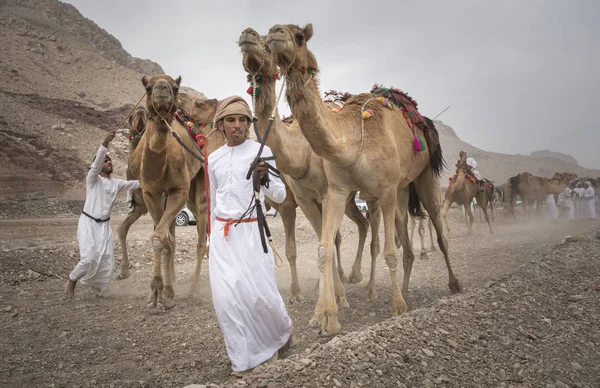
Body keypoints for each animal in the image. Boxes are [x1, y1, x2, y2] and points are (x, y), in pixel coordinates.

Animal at [238, 28, 370, 304]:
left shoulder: (311, 198)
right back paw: (344, 276)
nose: (247, 34)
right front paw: (299, 293)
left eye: (266, 43)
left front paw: (331, 296)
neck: (301, 152)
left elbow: (317, 241)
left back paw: (356, 275)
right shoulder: (298, 200)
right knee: (353, 228)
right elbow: (298, 247)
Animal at [264, 22, 462, 334]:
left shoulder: (385, 189)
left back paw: (452, 284)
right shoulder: (337, 190)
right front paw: (327, 318)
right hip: (400, 190)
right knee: (404, 242)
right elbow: (324, 247)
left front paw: (397, 309)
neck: (353, 139)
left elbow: (388, 251)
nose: (275, 33)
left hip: (424, 177)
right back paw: (404, 291)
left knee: (437, 232)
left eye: (299, 36)